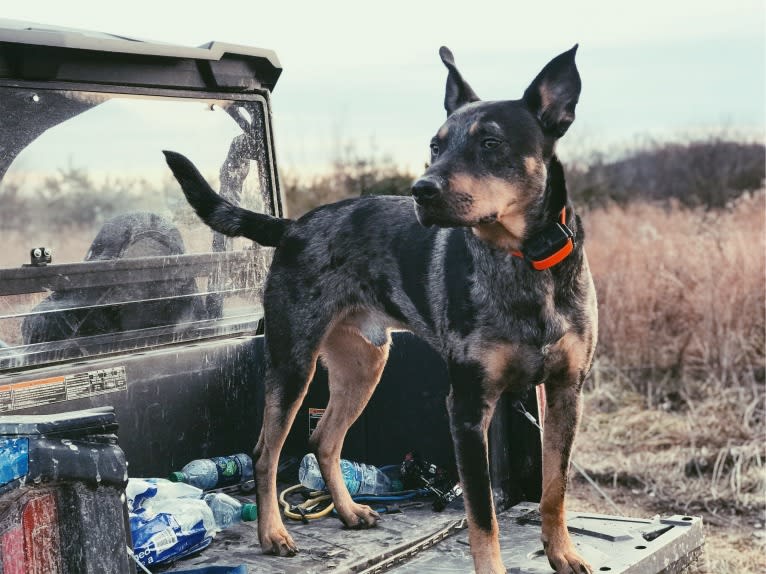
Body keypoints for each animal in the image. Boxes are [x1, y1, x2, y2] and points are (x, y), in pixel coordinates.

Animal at [165, 45, 600, 574]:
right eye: (435, 145)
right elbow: (483, 517)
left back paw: (348, 510)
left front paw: (563, 554)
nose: (422, 190)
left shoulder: (565, 393)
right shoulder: (467, 408)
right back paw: (273, 533)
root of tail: (293, 227)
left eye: (491, 143)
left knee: (324, 440)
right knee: (267, 453)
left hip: (364, 366)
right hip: (293, 365)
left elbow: (555, 490)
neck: (525, 262)